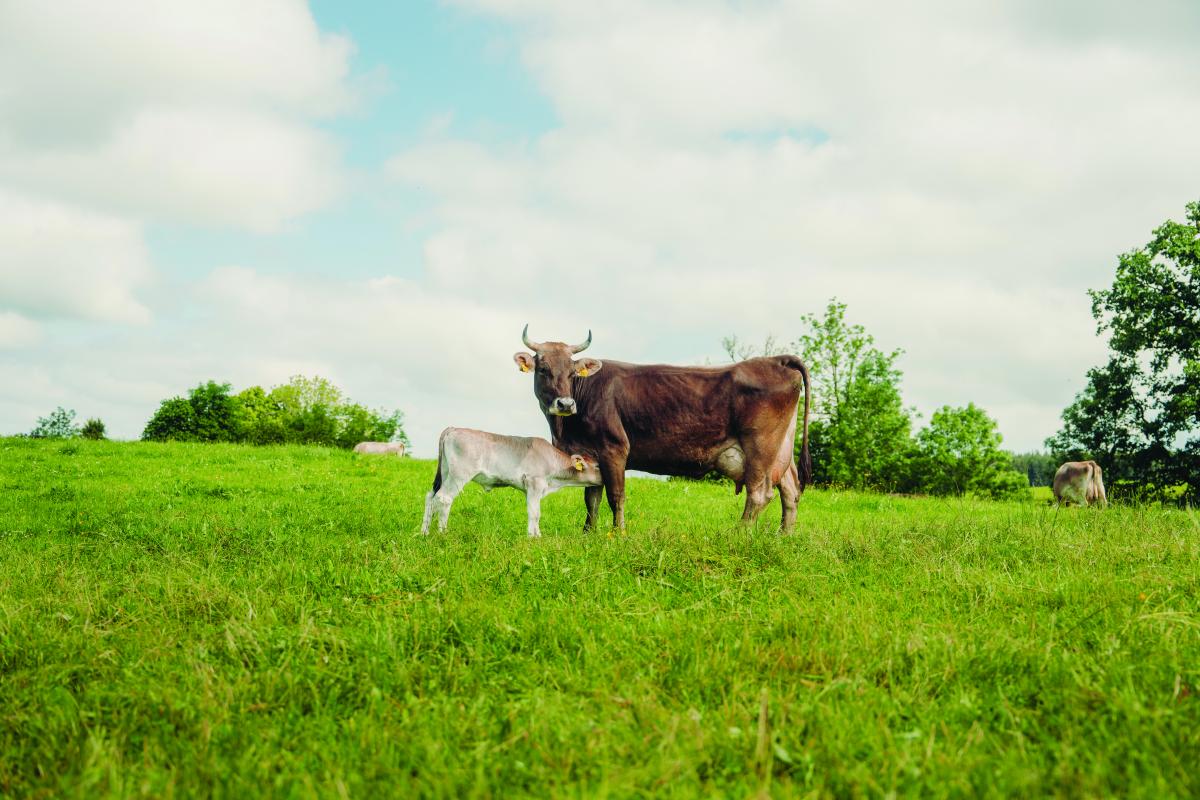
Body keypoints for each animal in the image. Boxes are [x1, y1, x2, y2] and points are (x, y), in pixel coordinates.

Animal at [427, 424, 604, 537]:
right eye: (597, 466)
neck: (554, 481)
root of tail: (454, 428)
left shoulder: (531, 489)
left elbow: (534, 511)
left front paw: (537, 534)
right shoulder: (535, 483)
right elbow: (535, 513)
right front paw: (533, 537)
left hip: (445, 472)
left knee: (431, 497)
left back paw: (425, 532)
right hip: (459, 475)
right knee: (444, 498)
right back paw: (442, 534)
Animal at [511, 321, 811, 534]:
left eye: (572, 373)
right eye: (543, 370)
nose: (565, 403)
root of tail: (775, 360)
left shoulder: (614, 449)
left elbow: (616, 496)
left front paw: (618, 534)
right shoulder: (589, 454)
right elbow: (591, 497)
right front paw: (589, 534)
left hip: (760, 447)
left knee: (760, 493)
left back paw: (739, 534)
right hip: (782, 451)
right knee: (790, 491)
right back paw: (784, 536)